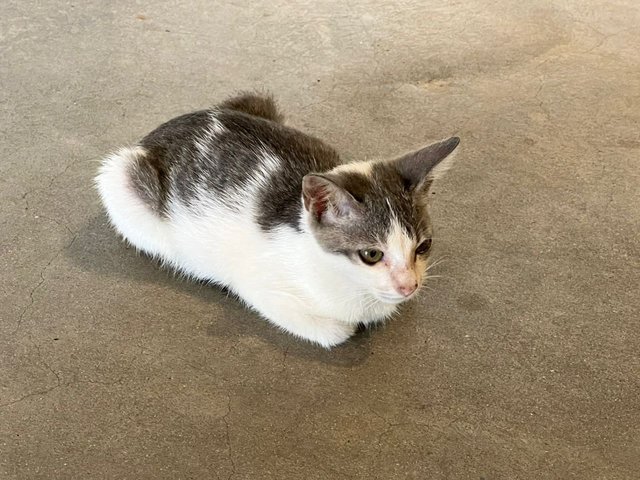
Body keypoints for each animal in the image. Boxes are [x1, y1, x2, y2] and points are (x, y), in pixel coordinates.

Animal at [95, 93, 460, 348]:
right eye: (371, 255)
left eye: (423, 246)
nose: (409, 286)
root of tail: (158, 131)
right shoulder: (256, 286)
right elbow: (335, 331)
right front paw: (345, 326)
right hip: (122, 179)